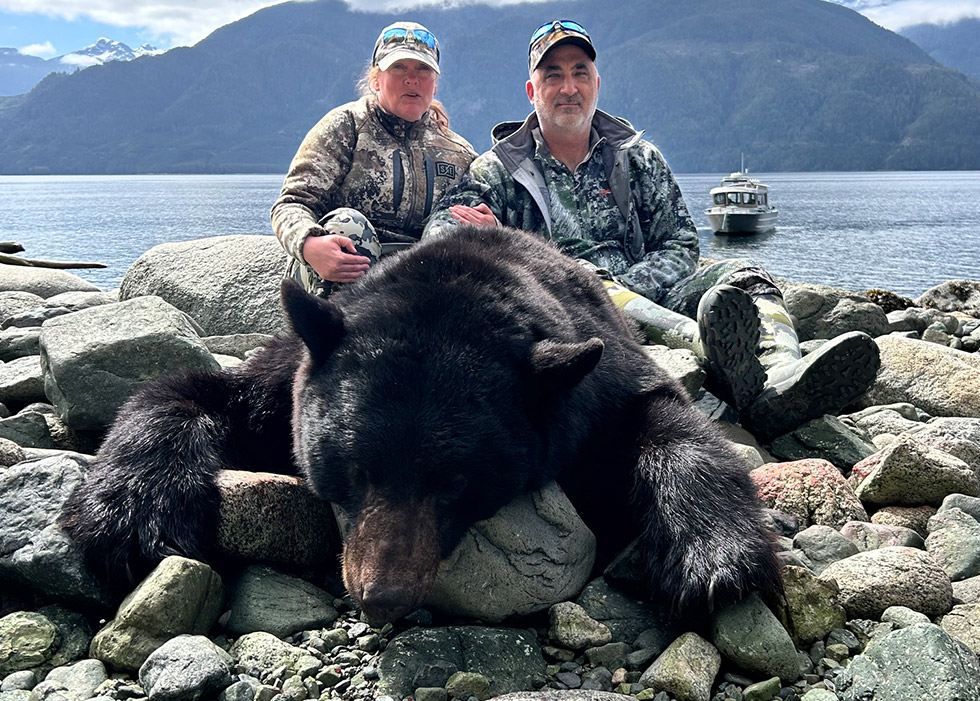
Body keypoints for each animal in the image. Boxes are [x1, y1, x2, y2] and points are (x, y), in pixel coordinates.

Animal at [62, 225, 782, 625]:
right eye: (353, 467)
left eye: (455, 479)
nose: (382, 595)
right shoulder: (295, 372)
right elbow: (187, 392)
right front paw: (127, 514)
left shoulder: (596, 384)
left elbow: (671, 424)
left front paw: (714, 556)